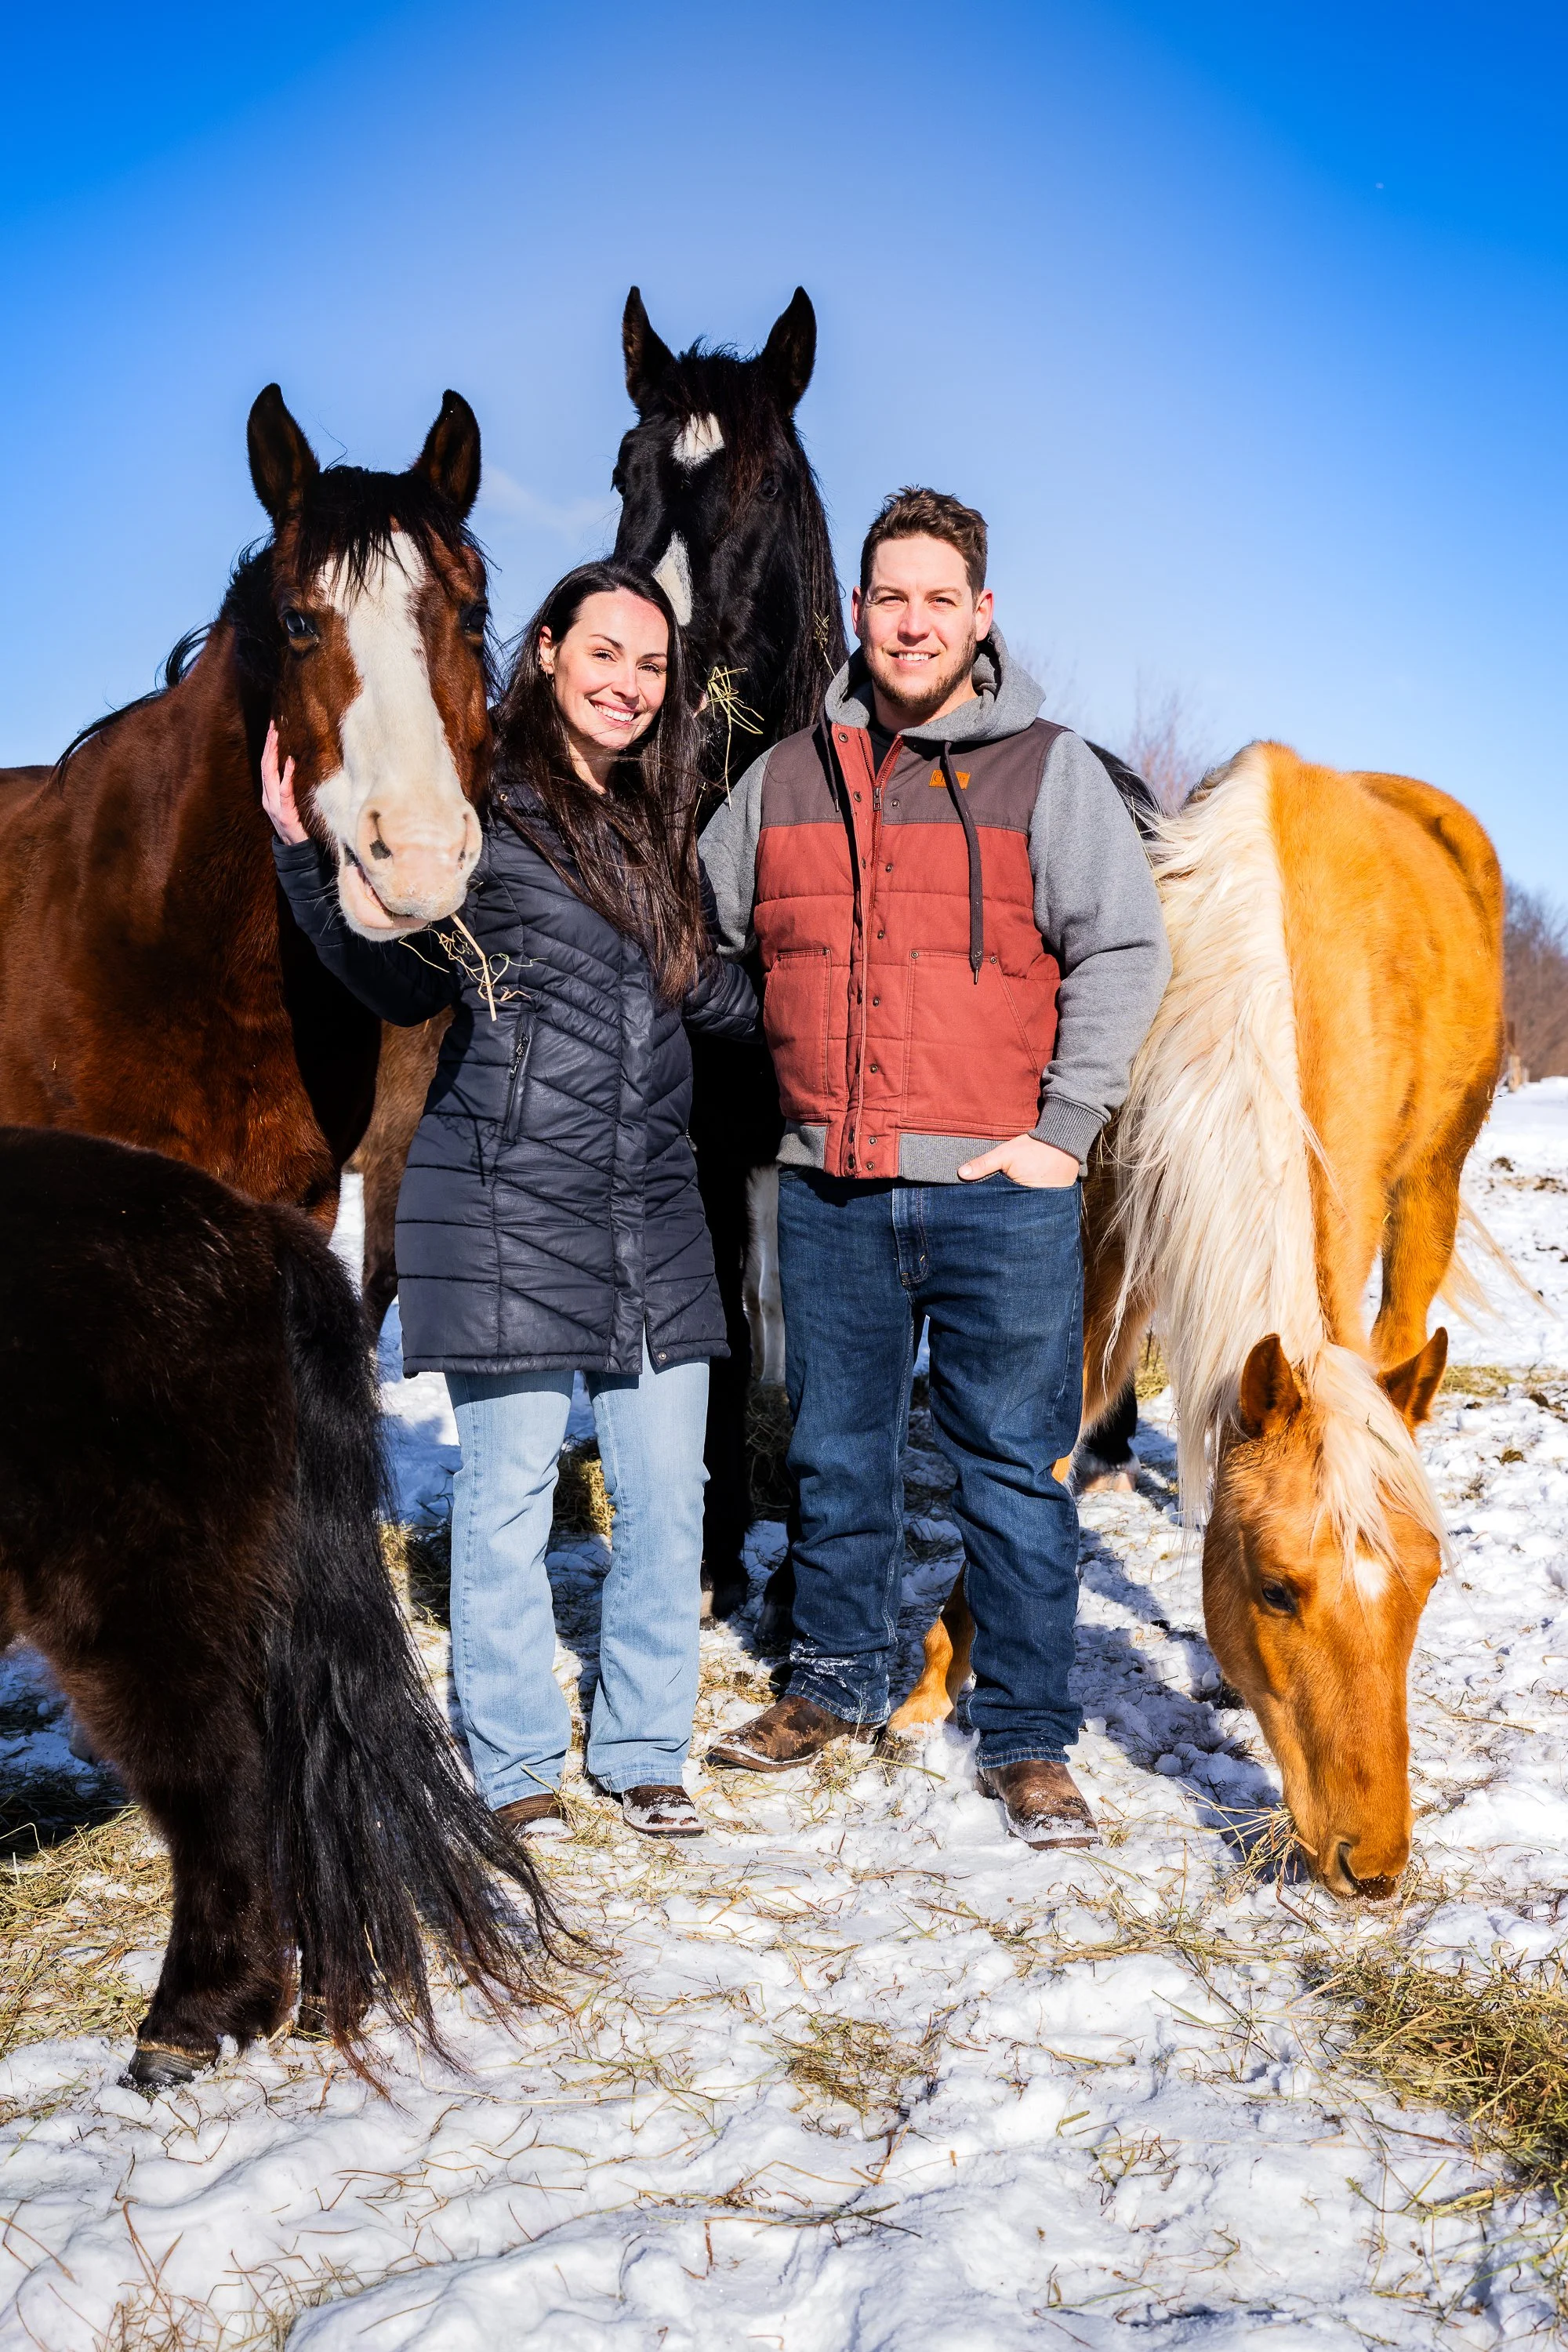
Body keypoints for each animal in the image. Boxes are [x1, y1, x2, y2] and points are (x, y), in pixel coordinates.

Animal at [891, 742, 1503, 1899]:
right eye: (1274, 1591)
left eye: (1428, 1585)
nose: (1372, 1864)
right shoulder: (1109, 1215)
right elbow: (1049, 1428)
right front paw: (933, 1683)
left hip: (1431, 1185)